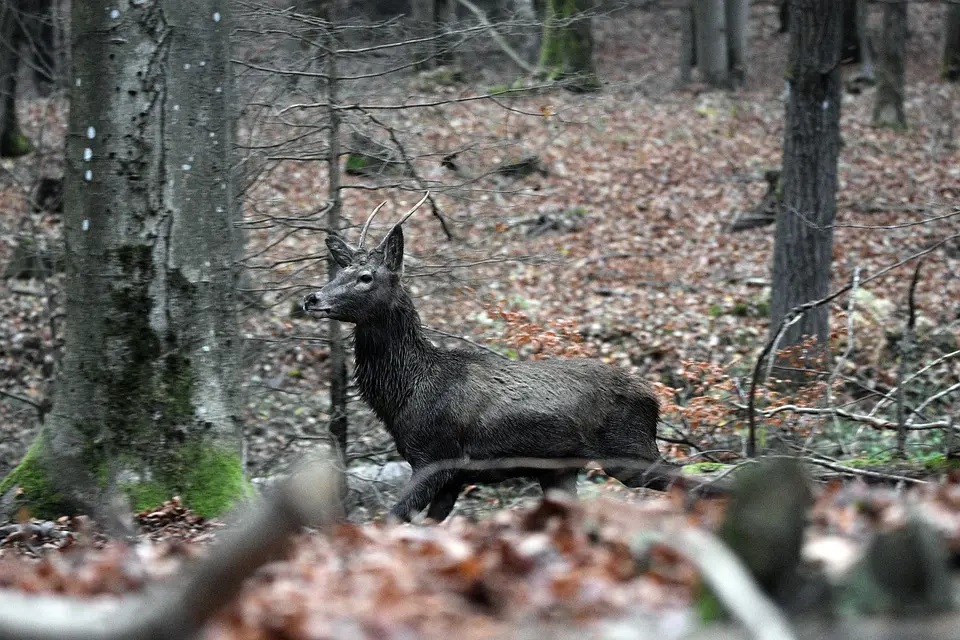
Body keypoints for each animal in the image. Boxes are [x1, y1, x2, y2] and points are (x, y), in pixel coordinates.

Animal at [304, 192, 680, 524]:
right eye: (338, 272)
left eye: (365, 277)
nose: (312, 298)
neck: (406, 390)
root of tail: (655, 399)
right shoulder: (452, 477)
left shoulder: (435, 458)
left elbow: (391, 519)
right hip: (562, 469)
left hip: (628, 450)